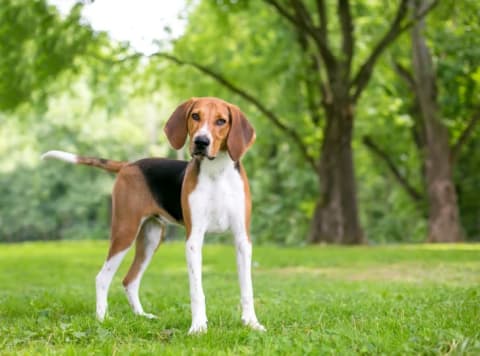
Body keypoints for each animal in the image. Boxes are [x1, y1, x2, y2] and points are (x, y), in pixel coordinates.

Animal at [40, 96, 264, 334]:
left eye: (221, 121)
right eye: (195, 116)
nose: (201, 142)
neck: (217, 173)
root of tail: (129, 164)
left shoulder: (242, 239)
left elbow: (247, 289)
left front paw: (251, 323)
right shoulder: (194, 240)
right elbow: (197, 291)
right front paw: (198, 327)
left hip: (151, 238)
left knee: (130, 280)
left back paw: (141, 316)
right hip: (125, 231)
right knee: (102, 278)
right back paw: (102, 319)